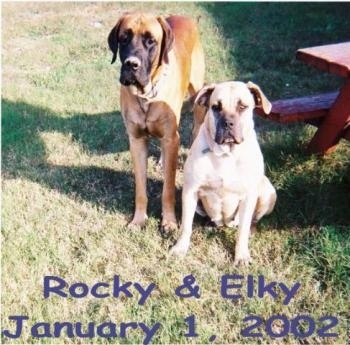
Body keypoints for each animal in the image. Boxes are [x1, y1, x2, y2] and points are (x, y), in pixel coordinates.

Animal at [108, 13, 204, 230]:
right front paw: (138, 219)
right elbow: (140, 188)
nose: (131, 64)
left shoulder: (171, 137)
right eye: (124, 38)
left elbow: (168, 188)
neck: (146, 96)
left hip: (198, 97)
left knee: (195, 130)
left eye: (150, 41)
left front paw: (169, 221)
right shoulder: (136, 141)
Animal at [170, 80, 276, 264]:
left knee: (251, 221)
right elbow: (186, 225)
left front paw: (241, 255)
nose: (228, 123)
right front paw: (180, 248)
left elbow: (242, 231)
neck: (226, 155)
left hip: (268, 192)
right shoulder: (190, 191)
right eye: (216, 107)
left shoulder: (249, 196)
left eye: (243, 107)